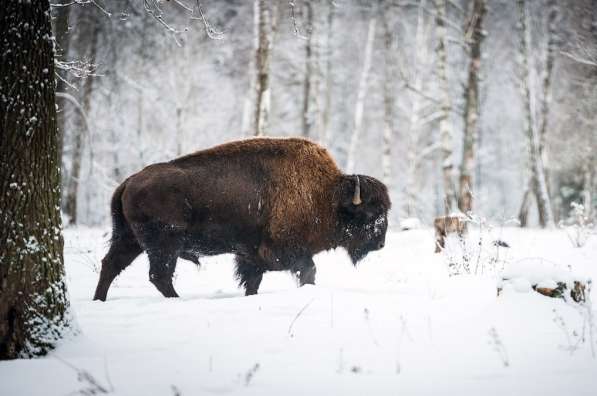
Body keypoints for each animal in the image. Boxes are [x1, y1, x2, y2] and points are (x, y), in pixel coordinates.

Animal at [93, 137, 392, 300]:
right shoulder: (284, 251)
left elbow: (253, 281)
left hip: (130, 239)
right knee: (159, 275)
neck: (326, 194)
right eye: (370, 212)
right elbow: (308, 271)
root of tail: (129, 181)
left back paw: (99, 301)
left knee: (111, 265)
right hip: (164, 245)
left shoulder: (251, 256)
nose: (380, 244)